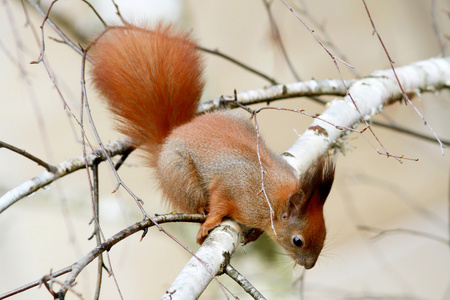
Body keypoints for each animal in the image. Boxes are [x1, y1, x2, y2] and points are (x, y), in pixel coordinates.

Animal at [89, 23, 334, 270]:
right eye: (297, 241)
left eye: (325, 233)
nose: (310, 265)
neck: (273, 198)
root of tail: (172, 135)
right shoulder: (230, 186)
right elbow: (219, 204)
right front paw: (209, 224)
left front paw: (254, 234)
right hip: (181, 176)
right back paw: (201, 211)